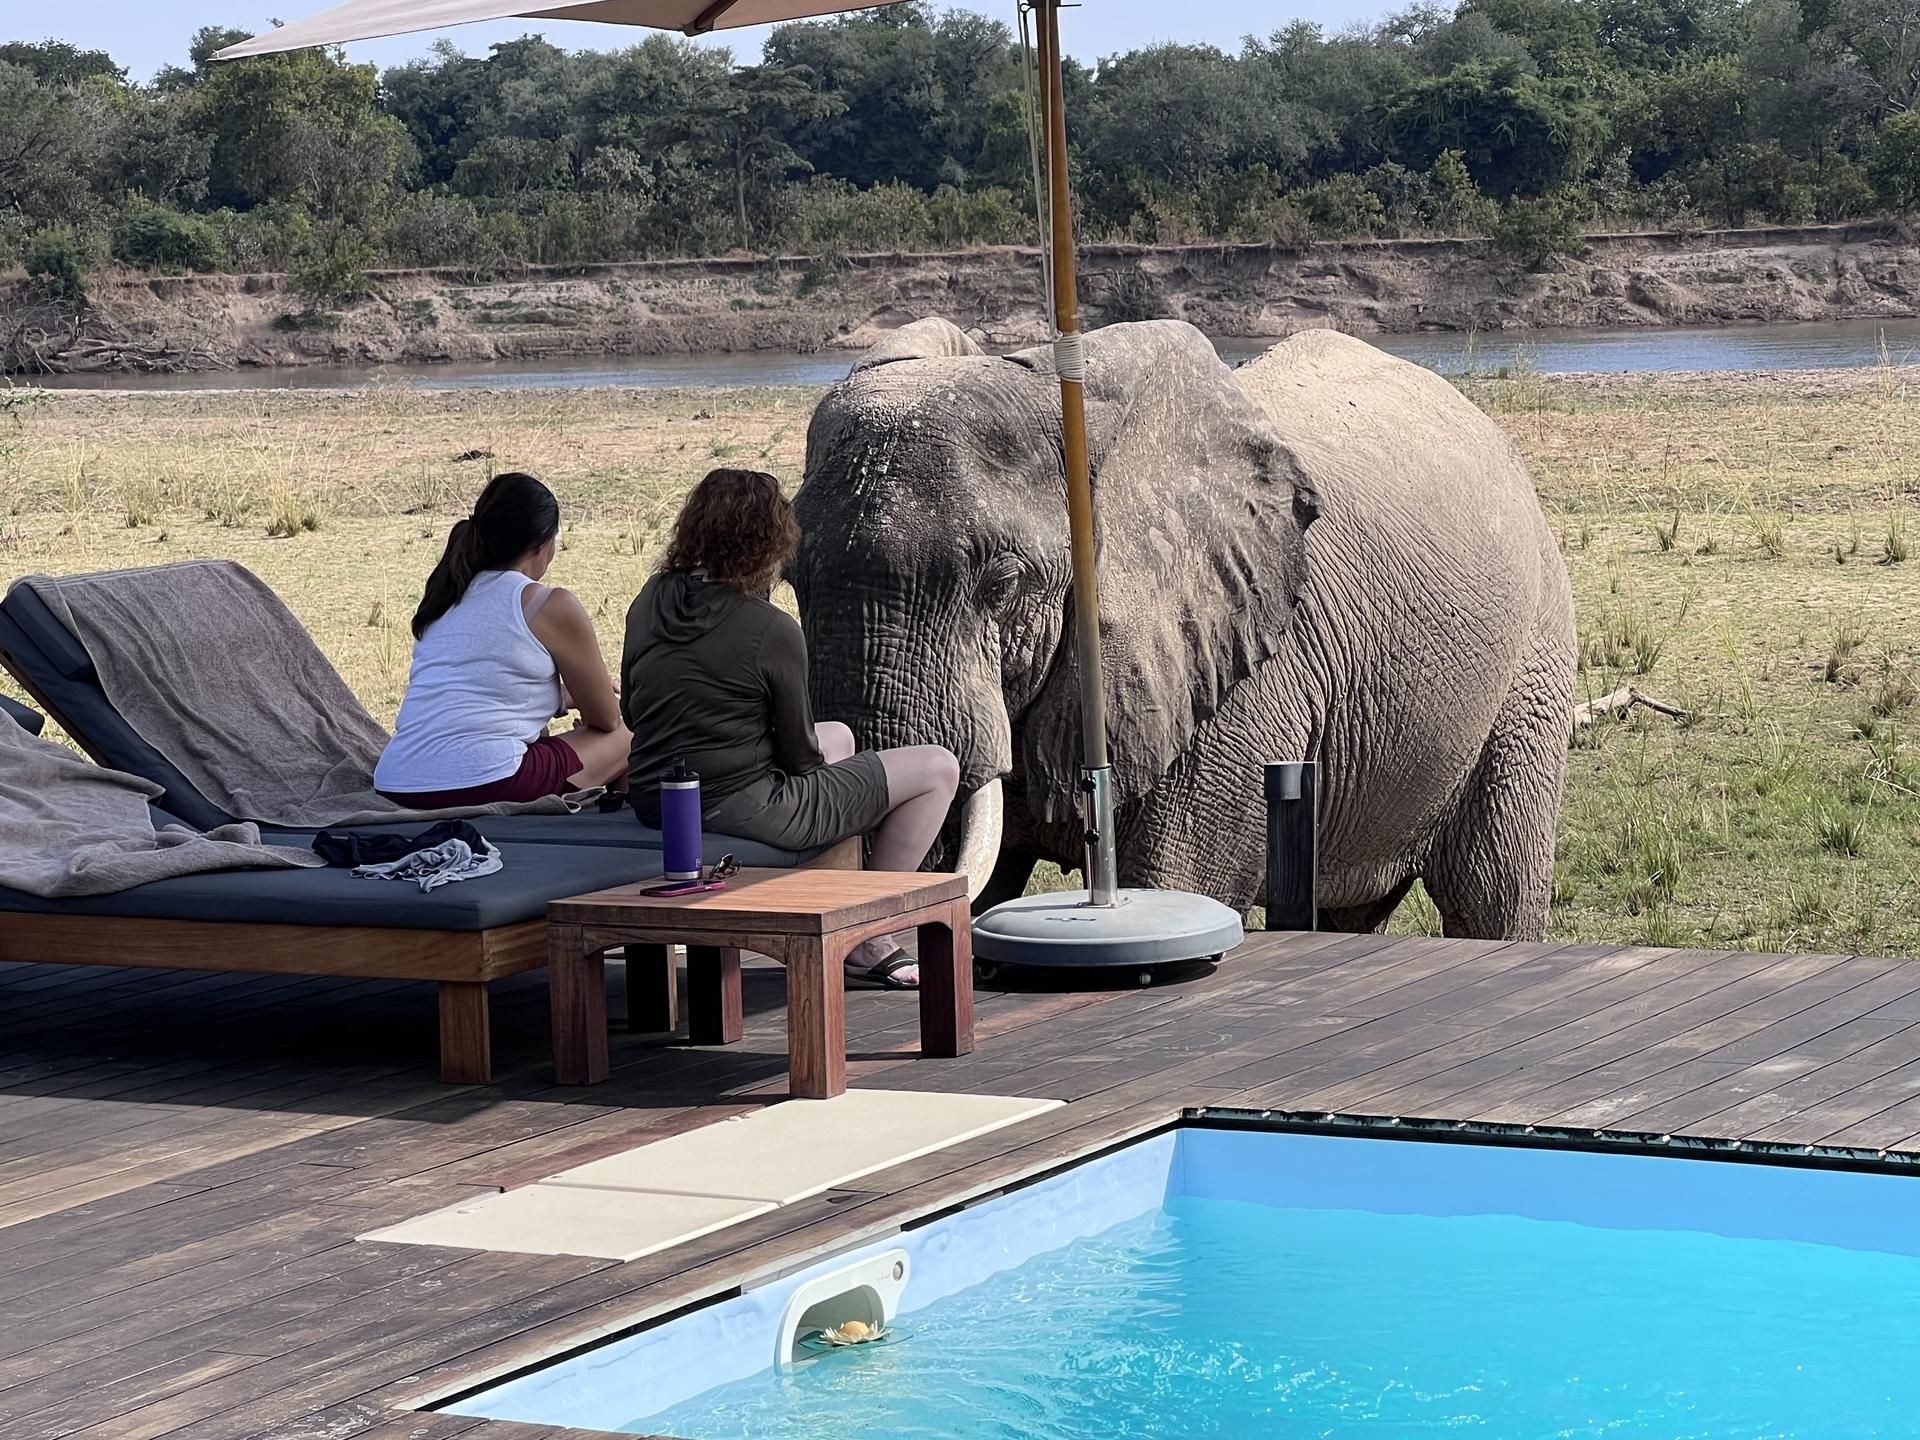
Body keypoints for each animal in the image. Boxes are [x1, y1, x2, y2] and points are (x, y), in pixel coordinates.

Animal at [783, 314, 1574, 940]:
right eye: (791, 579)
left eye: (1001, 586)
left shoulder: (1241, 663)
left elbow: (1175, 875)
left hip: (1531, 660)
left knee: (1490, 894)